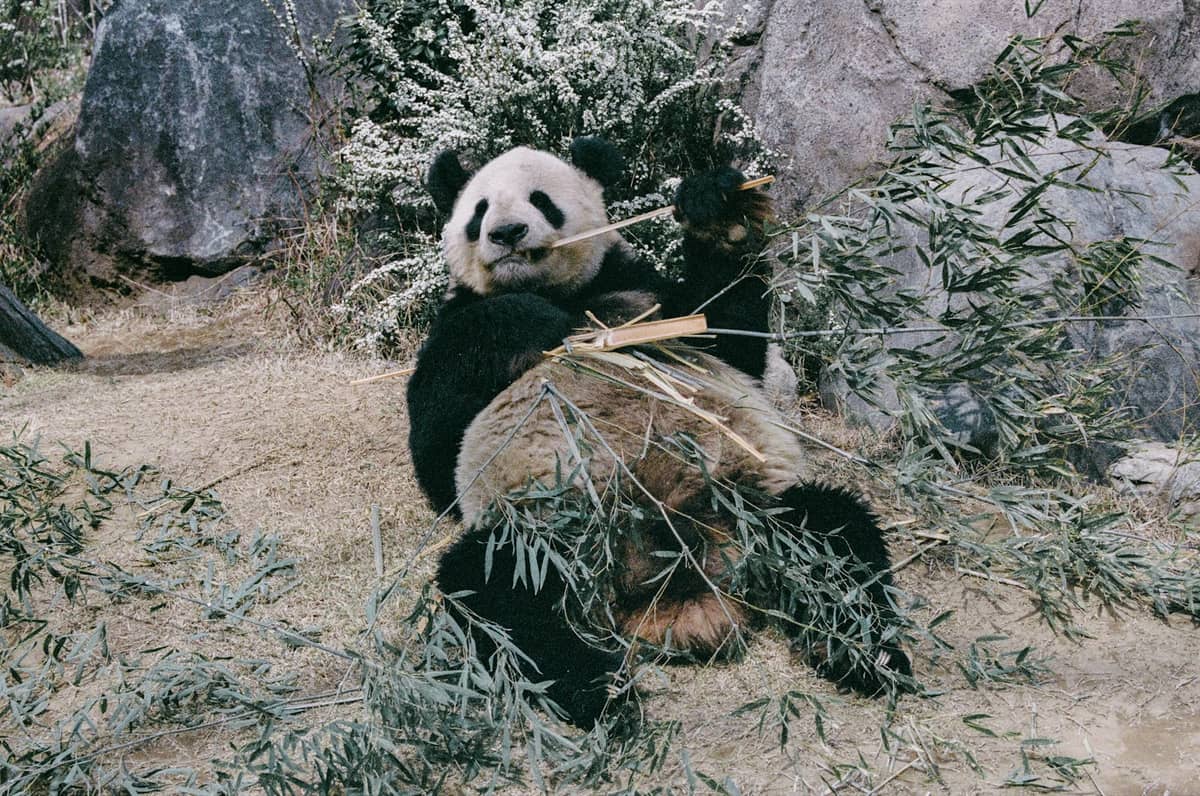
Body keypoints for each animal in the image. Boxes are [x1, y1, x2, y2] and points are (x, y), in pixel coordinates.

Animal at [406, 137, 912, 727]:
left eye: (540, 200)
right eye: (479, 210)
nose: (507, 233)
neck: (562, 293)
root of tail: (669, 594)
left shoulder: (645, 296)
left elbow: (726, 335)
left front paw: (718, 215)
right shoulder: (454, 330)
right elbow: (438, 451)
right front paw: (526, 318)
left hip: (753, 510)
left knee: (836, 536)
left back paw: (866, 655)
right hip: (543, 536)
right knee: (498, 592)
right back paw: (601, 693)